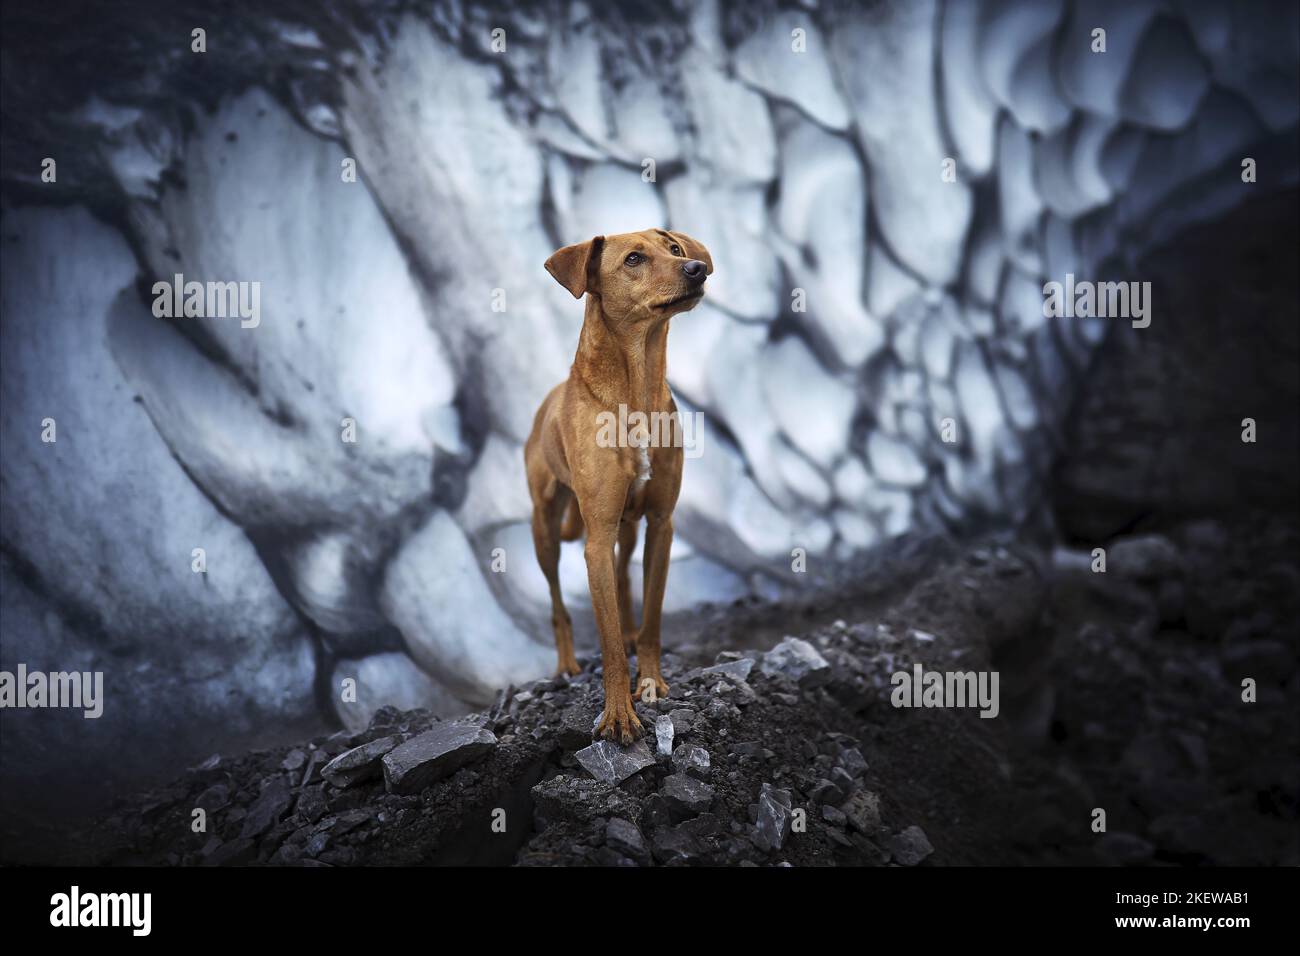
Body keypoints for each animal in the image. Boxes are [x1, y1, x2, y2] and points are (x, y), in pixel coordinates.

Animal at [522, 227, 717, 743]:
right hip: (545, 530)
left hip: (627, 529)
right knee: (558, 601)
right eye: (633, 259)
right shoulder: (596, 537)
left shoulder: (661, 523)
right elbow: (606, 640)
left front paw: (649, 681)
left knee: (626, 576)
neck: (636, 388)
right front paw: (617, 715)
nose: (697, 269)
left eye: (675, 250)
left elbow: (651, 616)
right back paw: (566, 664)